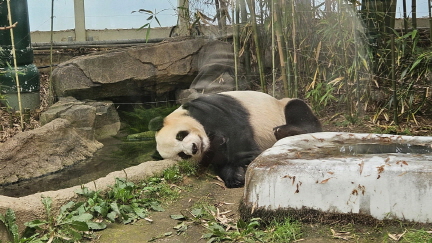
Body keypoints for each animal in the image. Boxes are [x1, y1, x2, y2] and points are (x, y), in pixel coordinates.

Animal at [152, 90, 320, 187]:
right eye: (182, 155)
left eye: (180, 135)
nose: (193, 148)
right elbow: (219, 160)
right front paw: (235, 176)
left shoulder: (211, 109)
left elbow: (237, 131)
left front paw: (248, 158)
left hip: (281, 106)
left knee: (297, 108)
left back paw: (286, 130)